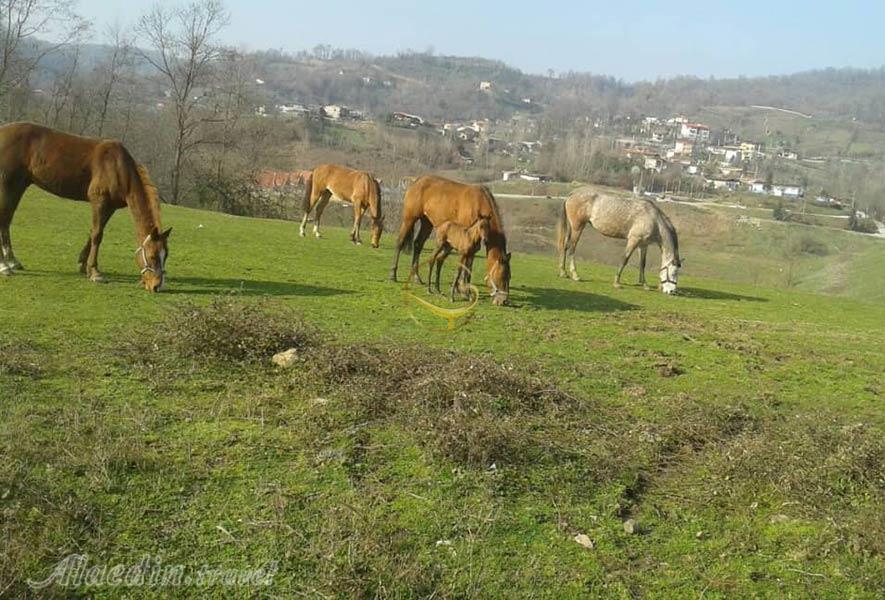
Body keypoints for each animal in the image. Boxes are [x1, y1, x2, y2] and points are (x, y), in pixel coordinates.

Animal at [0, 120, 169, 290]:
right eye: (152, 256)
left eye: (166, 255)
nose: (156, 285)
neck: (117, 167)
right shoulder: (99, 201)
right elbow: (97, 235)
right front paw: (95, 272)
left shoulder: (110, 207)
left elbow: (93, 231)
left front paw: (83, 265)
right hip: (8, 185)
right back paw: (5, 266)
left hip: (19, 185)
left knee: (6, 220)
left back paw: (12, 261)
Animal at [388, 173, 512, 304]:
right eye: (502, 276)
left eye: (509, 277)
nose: (504, 301)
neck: (477, 203)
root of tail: (416, 181)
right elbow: (464, 268)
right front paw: (462, 290)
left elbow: (467, 268)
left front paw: (461, 289)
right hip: (409, 219)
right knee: (400, 242)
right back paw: (392, 274)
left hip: (427, 222)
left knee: (418, 244)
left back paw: (417, 277)